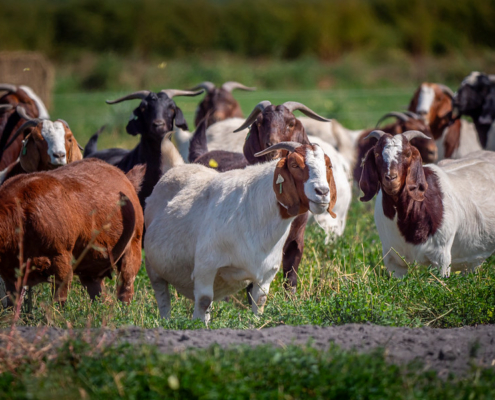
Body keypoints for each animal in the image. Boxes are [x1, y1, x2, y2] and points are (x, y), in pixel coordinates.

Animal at [0, 158, 144, 304]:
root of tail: (124, 177)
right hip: (90, 268)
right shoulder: (9, 273)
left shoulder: (61, 257)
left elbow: (59, 299)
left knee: (126, 285)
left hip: (133, 245)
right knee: (101, 297)